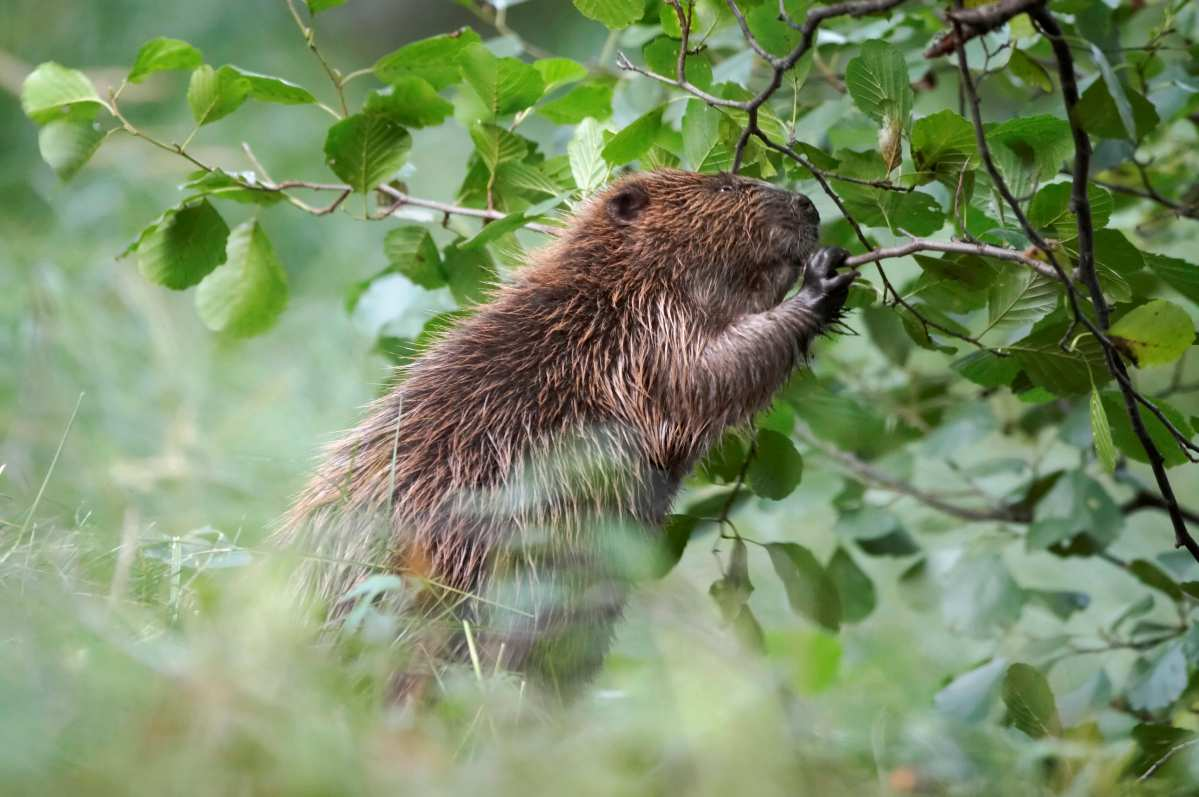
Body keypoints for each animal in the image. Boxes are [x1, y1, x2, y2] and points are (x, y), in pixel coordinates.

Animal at [279, 168, 853, 695]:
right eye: (727, 185)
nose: (808, 205)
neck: (602, 291)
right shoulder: (643, 337)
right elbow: (707, 376)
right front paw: (822, 282)